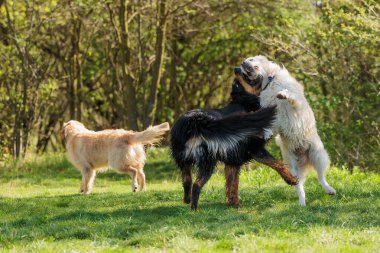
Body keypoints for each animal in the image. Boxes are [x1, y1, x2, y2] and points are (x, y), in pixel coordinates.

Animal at [169, 70, 296, 211]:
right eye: (249, 77)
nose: (236, 69)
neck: (245, 103)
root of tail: (194, 121)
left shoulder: (233, 159)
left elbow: (232, 184)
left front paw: (233, 203)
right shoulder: (255, 149)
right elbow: (277, 163)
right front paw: (291, 179)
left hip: (184, 160)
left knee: (187, 182)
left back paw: (187, 201)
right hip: (207, 162)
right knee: (197, 185)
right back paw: (195, 210)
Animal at [240, 54, 336, 206]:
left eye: (251, 59)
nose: (242, 63)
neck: (270, 80)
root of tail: (304, 160)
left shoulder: (296, 104)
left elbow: (290, 96)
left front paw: (284, 95)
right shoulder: (270, 113)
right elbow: (270, 124)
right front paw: (266, 132)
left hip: (318, 155)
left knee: (321, 177)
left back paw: (329, 189)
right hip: (293, 166)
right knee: (299, 185)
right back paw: (302, 203)